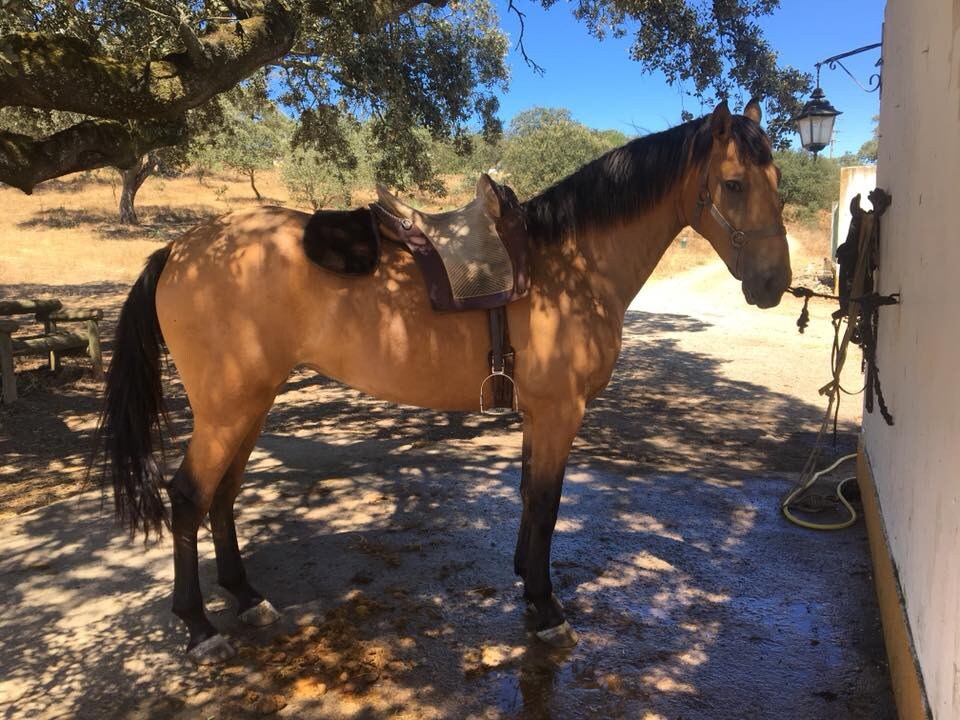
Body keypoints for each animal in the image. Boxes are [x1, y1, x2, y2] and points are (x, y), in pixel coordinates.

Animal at [97, 100, 792, 664]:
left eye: (780, 184)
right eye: (733, 184)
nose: (773, 285)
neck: (570, 265)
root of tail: (179, 250)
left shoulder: (539, 415)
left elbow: (528, 497)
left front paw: (526, 584)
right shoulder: (561, 411)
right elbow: (547, 504)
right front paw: (547, 610)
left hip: (250, 404)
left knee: (223, 496)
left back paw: (246, 598)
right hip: (227, 408)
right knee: (189, 497)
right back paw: (198, 627)